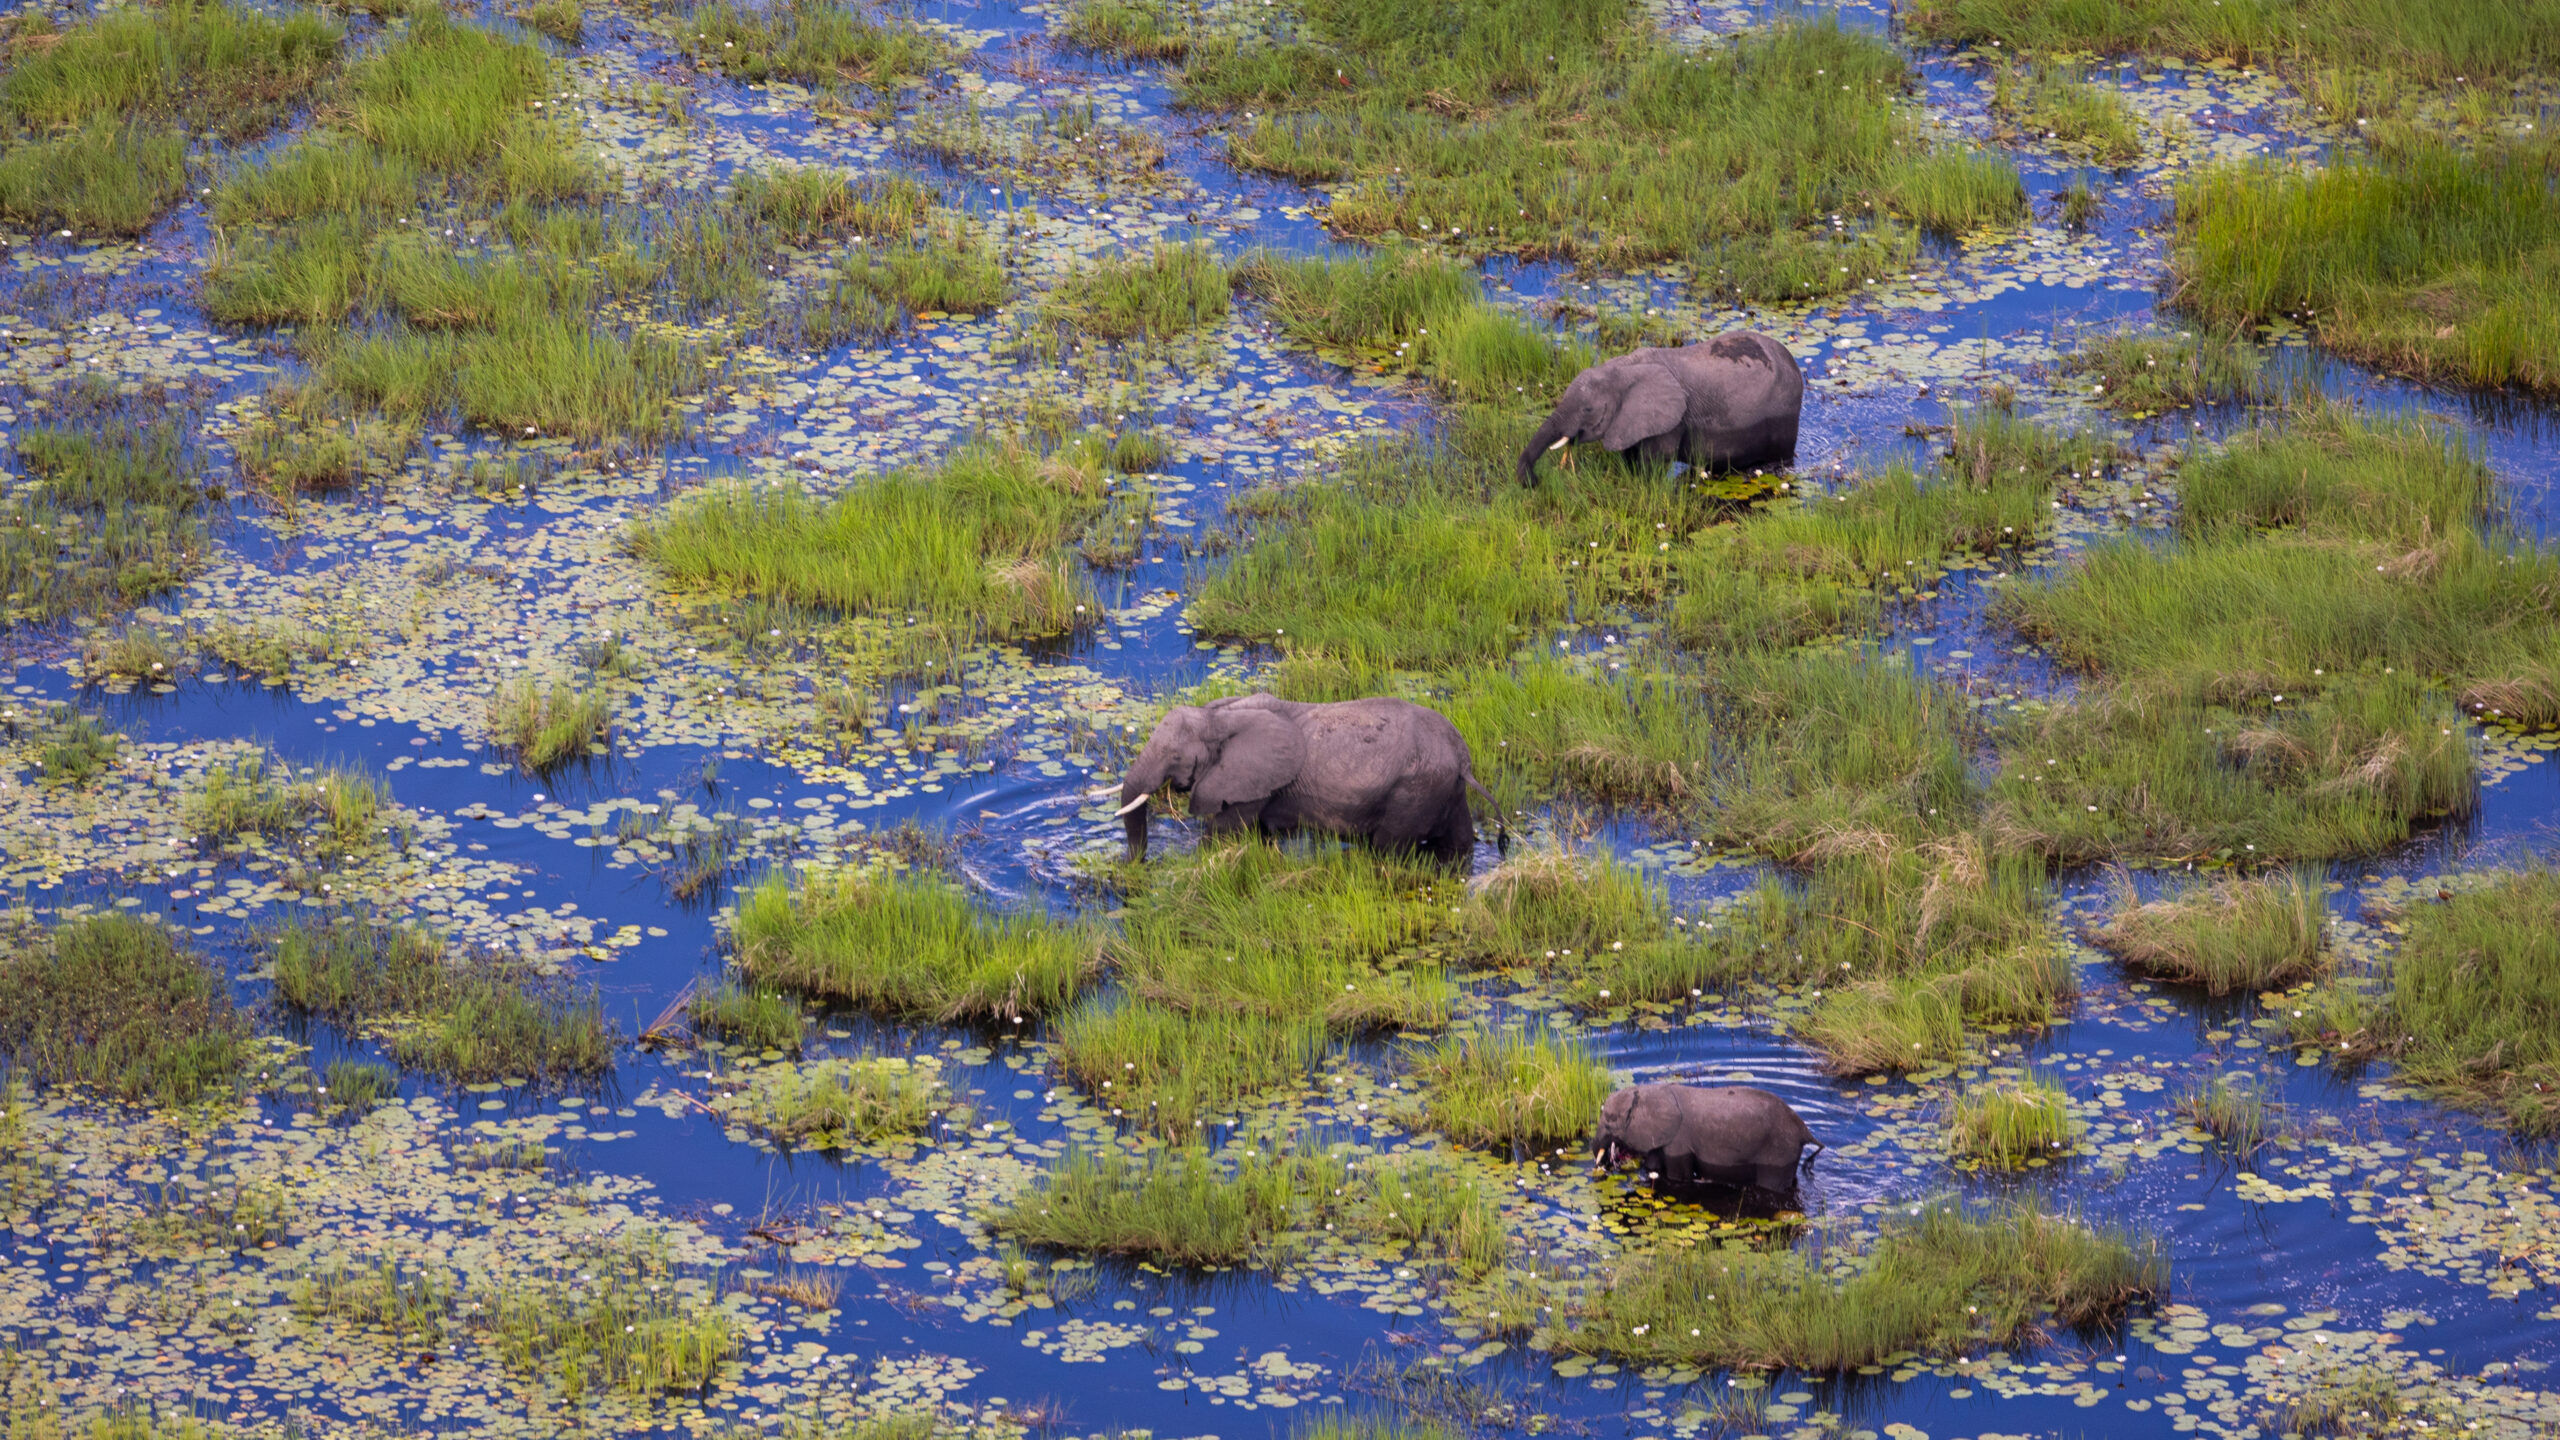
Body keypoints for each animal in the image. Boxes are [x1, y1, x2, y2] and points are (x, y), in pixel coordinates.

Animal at [1110, 694, 1496, 867]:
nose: (1131, 865)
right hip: (1445, 788)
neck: (1218, 715)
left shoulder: (1253, 783)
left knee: (1388, 847)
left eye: (1175, 756)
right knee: (1459, 841)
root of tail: (1461, 757)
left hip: (1415, 790)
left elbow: (1224, 831)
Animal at [1517, 332, 1804, 484]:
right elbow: (1631, 455)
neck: (1623, 366)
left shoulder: (1672, 421)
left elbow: (1653, 461)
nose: (1535, 481)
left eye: (1588, 410)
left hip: (1784, 416)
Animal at [1590, 1084, 1823, 1194]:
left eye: (1610, 1121)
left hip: (1779, 1151)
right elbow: (1653, 1165)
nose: (1603, 1166)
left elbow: (1677, 1177)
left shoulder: (1679, 1141)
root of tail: (1804, 1130)